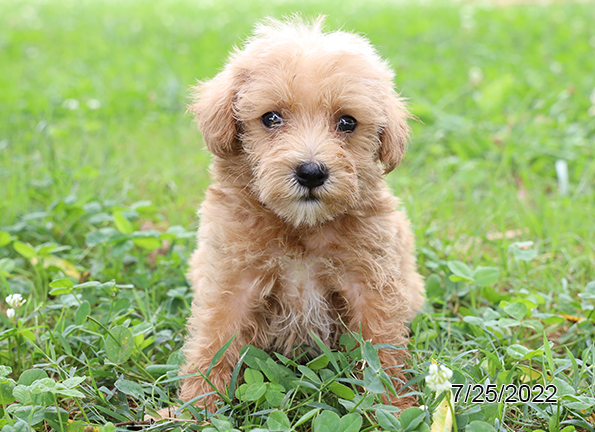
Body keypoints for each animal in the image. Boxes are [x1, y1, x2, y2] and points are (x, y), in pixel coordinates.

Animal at [177, 15, 424, 410]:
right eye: (271, 118)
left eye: (347, 122)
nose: (310, 172)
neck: (301, 228)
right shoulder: (232, 281)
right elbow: (214, 341)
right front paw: (194, 407)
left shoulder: (370, 283)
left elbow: (382, 347)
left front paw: (394, 406)